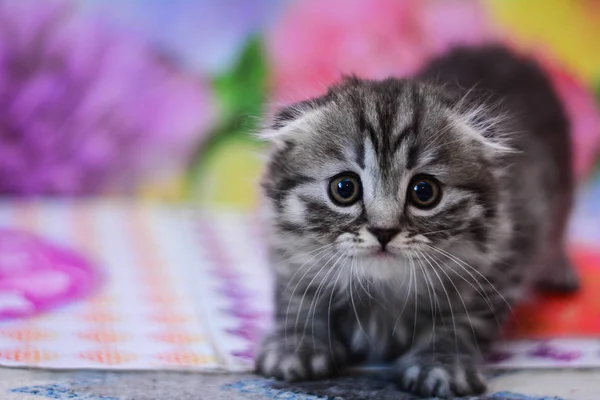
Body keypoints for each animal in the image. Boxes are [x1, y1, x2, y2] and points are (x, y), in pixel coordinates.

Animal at [255, 46, 580, 396]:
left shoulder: (506, 256)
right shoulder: (287, 251)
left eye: (424, 191)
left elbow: (461, 319)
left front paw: (443, 362)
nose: (383, 231)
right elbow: (298, 296)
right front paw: (296, 343)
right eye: (344, 188)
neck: (382, 295)